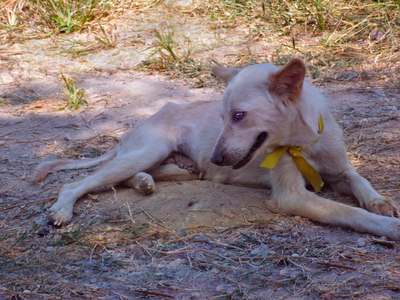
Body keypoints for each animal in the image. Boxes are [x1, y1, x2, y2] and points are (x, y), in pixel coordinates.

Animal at [33, 59, 400, 240]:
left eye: (239, 116)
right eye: (223, 117)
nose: (216, 158)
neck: (303, 144)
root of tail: (131, 131)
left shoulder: (340, 170)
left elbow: (361, 182)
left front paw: (381, 202)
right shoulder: (292, 197)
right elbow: (349, 213)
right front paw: (388, 227)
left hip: (162, 160)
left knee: (138, 175)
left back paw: (147, 181)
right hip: (148, 150)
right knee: (80, 182)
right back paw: (63, 210)